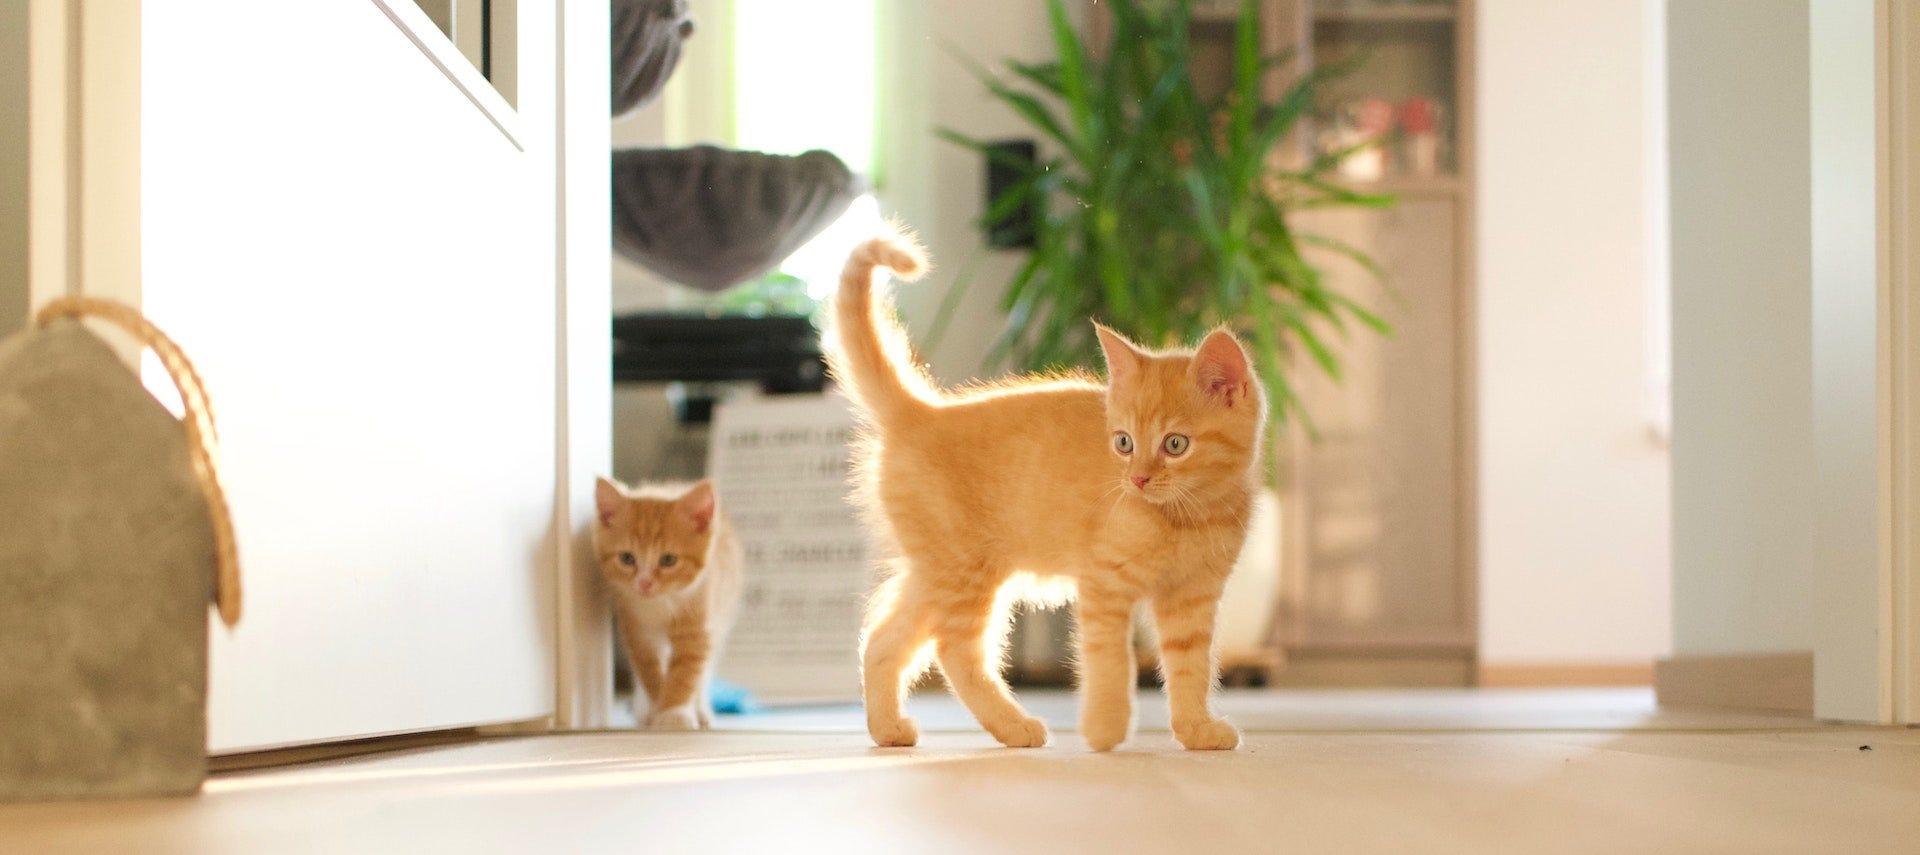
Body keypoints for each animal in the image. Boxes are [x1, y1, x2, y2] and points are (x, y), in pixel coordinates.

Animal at [591, 476, 741, 730]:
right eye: (627, 558)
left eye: (669, 560)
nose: (644, 583)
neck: (660, 605)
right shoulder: (635, 629)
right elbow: (648, 669)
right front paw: (656, 707)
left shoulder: (699, 621)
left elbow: (687, 670)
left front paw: (675, 713)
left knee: (705, 669)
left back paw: (701, 709)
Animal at [821, 236, 1259, 749]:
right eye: (1124, 443)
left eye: (1175, 445)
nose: (1137, 479)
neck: (1190, 515)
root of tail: (923, 412)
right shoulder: (1104, 584)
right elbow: (1109, 661)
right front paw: (1105, 729)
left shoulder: (1192, 598)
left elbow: (1190, 667)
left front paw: (1195, 730)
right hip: (964, 571)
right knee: (956, 649)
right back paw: (1013, 726)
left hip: (935, 571)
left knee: (883, 637)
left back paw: (888, 729)